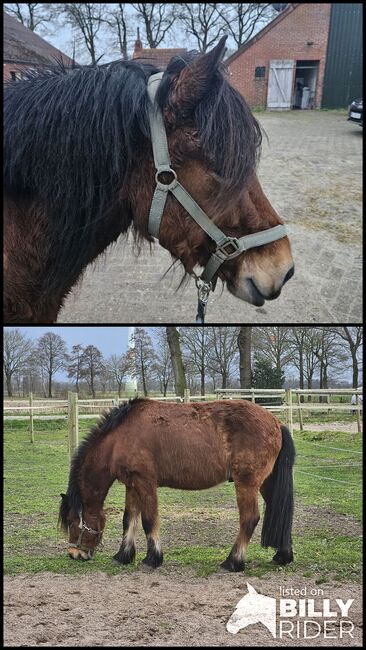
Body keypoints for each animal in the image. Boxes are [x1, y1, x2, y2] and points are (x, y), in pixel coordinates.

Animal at [58, 398, 296, 568]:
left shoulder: (145, 482)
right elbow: (129, 520)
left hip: (246, 484)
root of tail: (277, 423)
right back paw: (282, 556)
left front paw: (153, 558)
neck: (119, 438)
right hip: (265, 484)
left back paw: (233, 562)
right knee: (279, 513)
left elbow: (148, 520)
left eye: (72, 521)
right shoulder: (131, 485)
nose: (73, 554)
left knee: (249, 519)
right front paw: (123, 556)